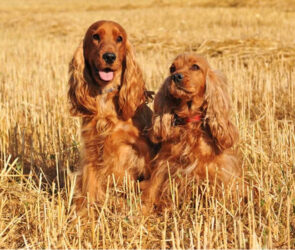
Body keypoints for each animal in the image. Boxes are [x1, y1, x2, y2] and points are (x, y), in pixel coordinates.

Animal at [68, 20, 154, 210]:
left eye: (119, 38)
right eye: (95, 36)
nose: (109, 56)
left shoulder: (143, 151)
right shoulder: (92, 151)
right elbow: (88, 191)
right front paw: (85, 216)